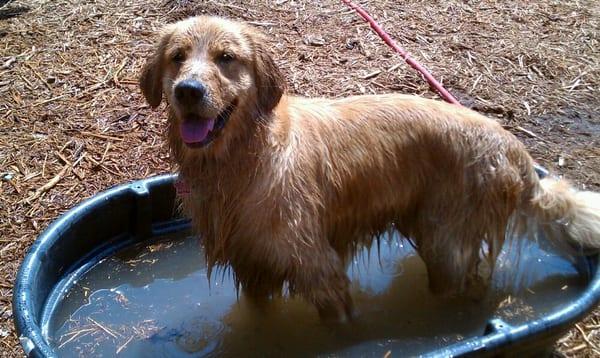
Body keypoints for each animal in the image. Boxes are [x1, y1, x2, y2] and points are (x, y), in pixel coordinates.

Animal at [141, 15, 600, 320]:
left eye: (226, 58)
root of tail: (513, 147)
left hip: (447, 245)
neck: (241, 160)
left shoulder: (319, 269)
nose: (188, 91)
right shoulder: (252, 269)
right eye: (178, 57)